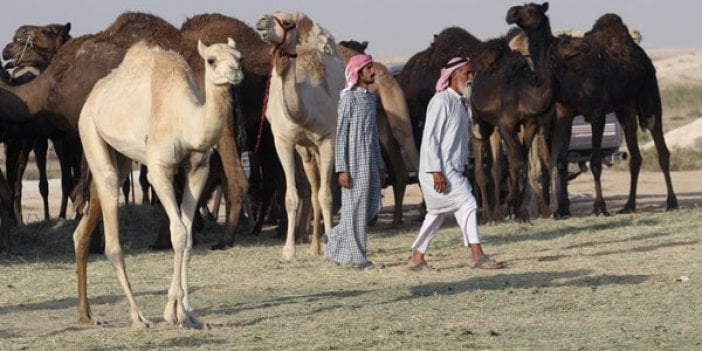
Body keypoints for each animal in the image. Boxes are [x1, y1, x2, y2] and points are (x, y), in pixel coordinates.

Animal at [73, 39, 245, 330]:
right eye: (211, 60)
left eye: (239, 57)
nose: (235, 73)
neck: (185, 119)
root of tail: (92, 97)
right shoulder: (159, 169)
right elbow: (178, 233)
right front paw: (173, 313)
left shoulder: (198, 168)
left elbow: (188, 236)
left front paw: (189, 313)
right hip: (88, 130)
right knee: (111, 228)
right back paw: (138, 316)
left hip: (118, 155)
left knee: (84, 224)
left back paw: (86, 315)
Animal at [258, 11, 348, 262]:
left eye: (287, 22)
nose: (261, 22)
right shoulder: (283, 141)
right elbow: (291, 197)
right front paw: (288, 251)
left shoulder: (327, 139)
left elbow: (327, 196)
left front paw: (331, 248)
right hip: (305, 150)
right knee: (312, 190)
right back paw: (314, 246)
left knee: (320, 191)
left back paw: (321, 245)